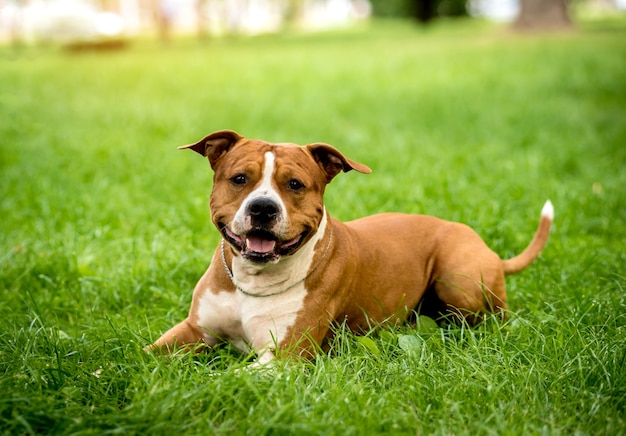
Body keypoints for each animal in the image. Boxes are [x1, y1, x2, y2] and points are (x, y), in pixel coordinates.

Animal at [149, 130, 552, 364]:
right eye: (239, 179)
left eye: (295, 184)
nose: (263, 207)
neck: (253, 279)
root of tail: (486, 247)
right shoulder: (193, 331)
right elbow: (145, 356)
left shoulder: (283, 358)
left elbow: (227, 382)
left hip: (459, 281)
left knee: (491, 318)